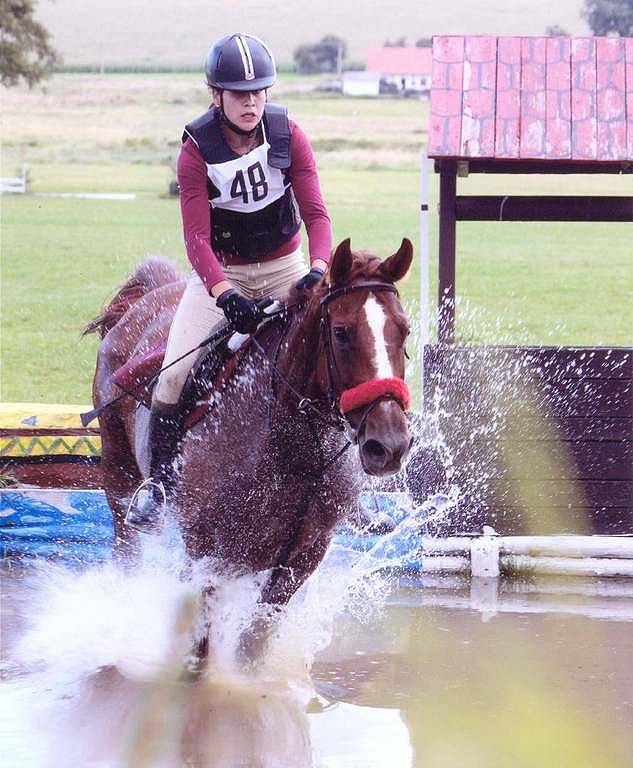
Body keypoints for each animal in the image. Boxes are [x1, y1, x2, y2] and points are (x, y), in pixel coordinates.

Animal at [86, 238, 412, 656]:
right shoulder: (207, 555)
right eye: (341, 332)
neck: (289, 448)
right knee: (127, 551)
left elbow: (253, 642)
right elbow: (200, 644)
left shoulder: (299, 561)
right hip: (119, 475)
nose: (389, 445)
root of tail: (145, 296)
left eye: (404, 331)